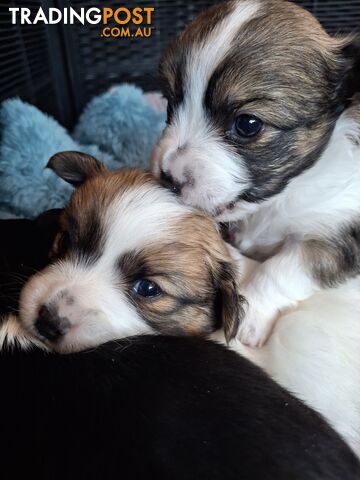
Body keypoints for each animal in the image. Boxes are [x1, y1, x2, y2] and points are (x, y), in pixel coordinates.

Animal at [152, 0, 360, 344]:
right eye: (169, 104)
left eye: (248, 124)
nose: (167, 176)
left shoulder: (338, 235)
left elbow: (281, 267)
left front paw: (250, 316)